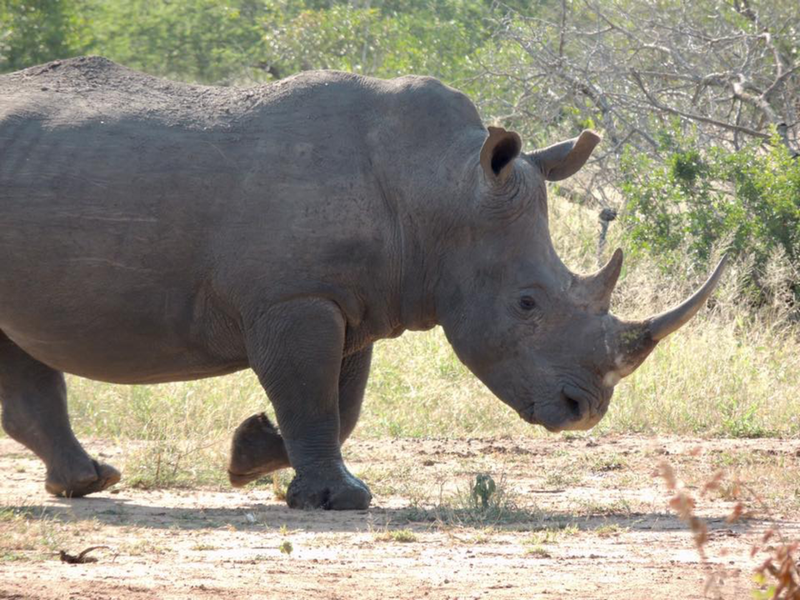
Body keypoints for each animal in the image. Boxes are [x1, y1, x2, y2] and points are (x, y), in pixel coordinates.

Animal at [0, 57, 725, 510]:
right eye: (526, 304)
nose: (585, 412)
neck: (440, 186)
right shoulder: (296, 297)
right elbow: (313, 397)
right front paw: (339, 500)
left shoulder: (350, 303)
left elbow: (339, 404)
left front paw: (251, 454)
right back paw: (86, 485)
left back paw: (87, 483)